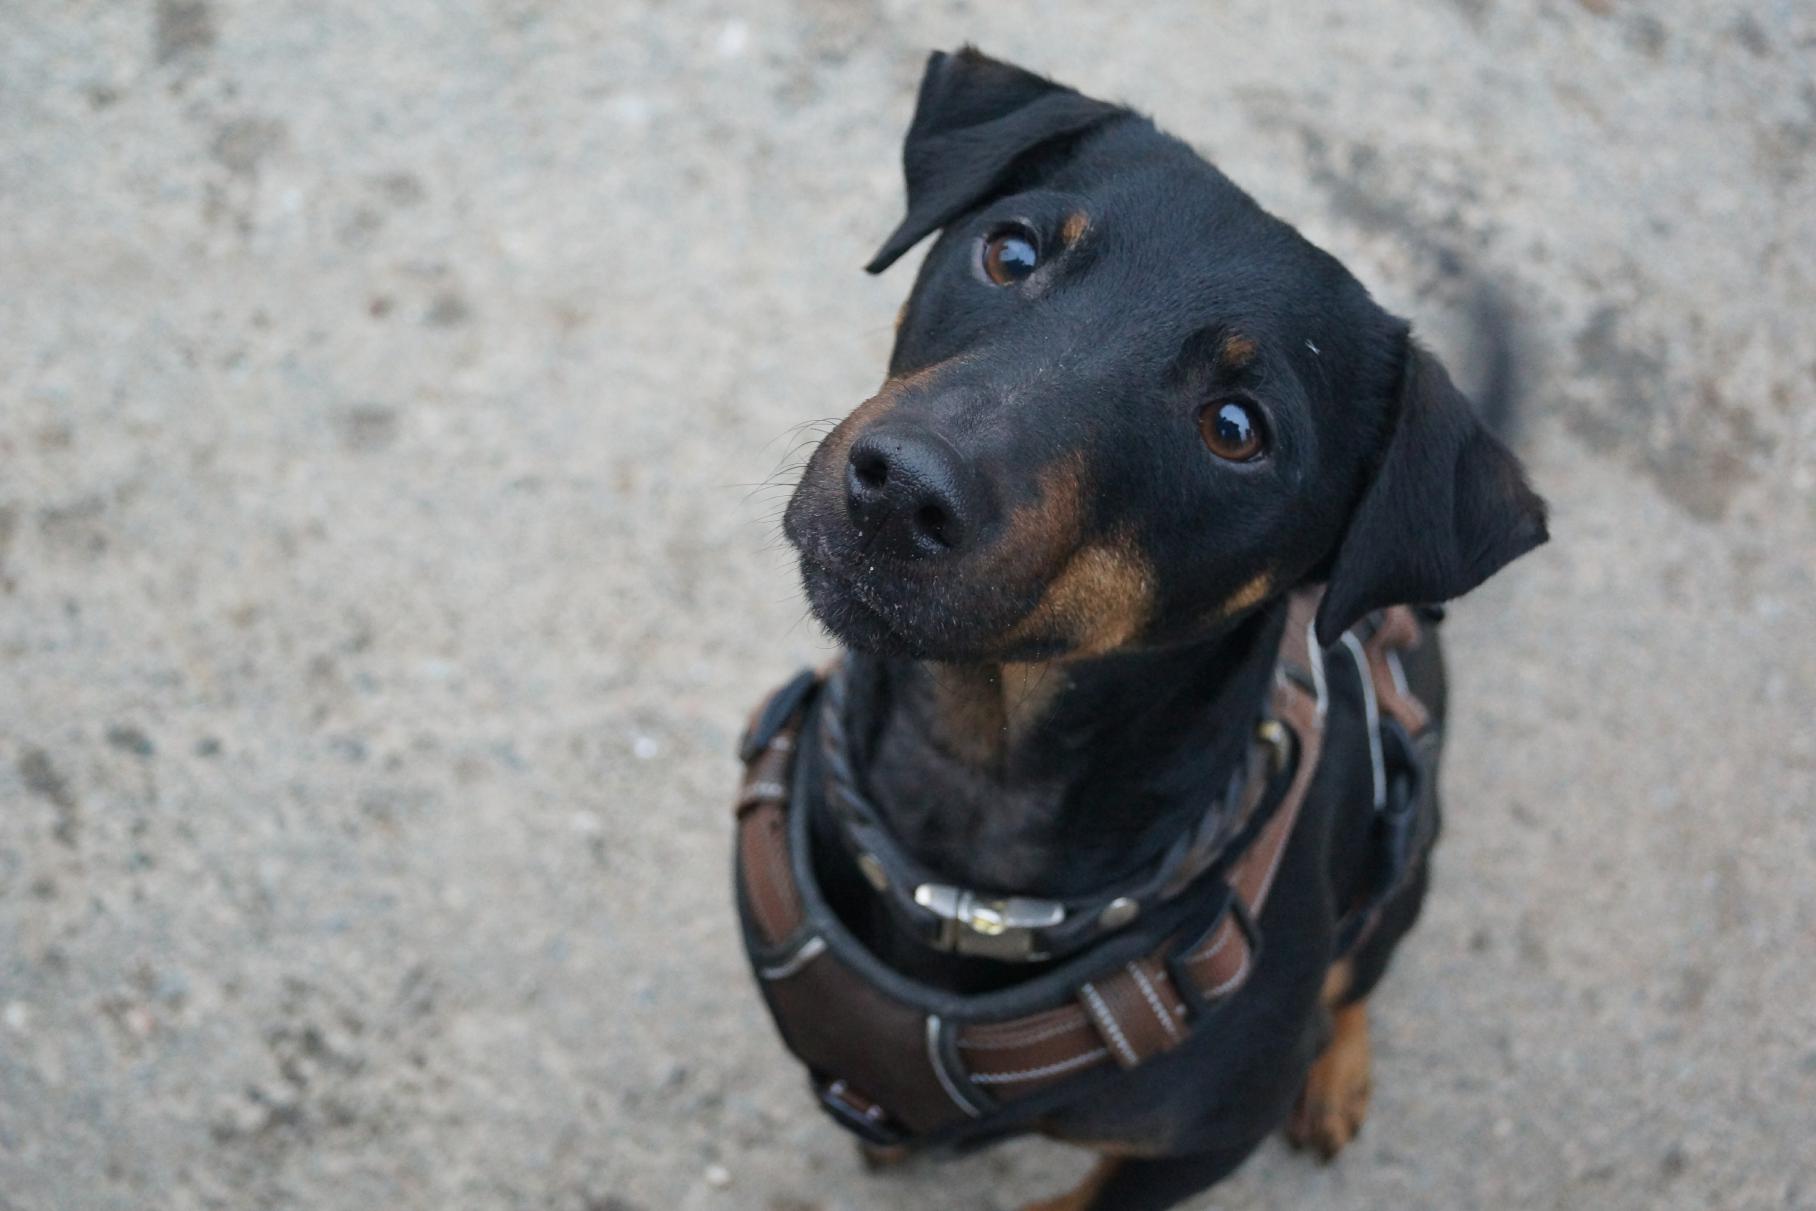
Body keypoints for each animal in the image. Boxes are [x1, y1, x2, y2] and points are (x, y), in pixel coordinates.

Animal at [743, 47, 1548, 1211]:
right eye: (1010, 250)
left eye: (1236, 429)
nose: (900, 491)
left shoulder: (1194, 1147)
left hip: (1410, 863)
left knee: (1359, 970)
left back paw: (1335, 1071)